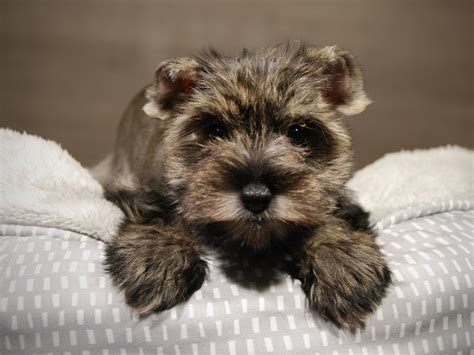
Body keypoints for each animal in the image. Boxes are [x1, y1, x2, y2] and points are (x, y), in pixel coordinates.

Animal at [97, 43, 392, 330]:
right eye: (215, 130)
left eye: (297, 132)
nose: (256, 197)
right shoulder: (141, 191)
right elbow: (161, 214)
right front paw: (160, 259)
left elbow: (333, 218)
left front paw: (342, 264)